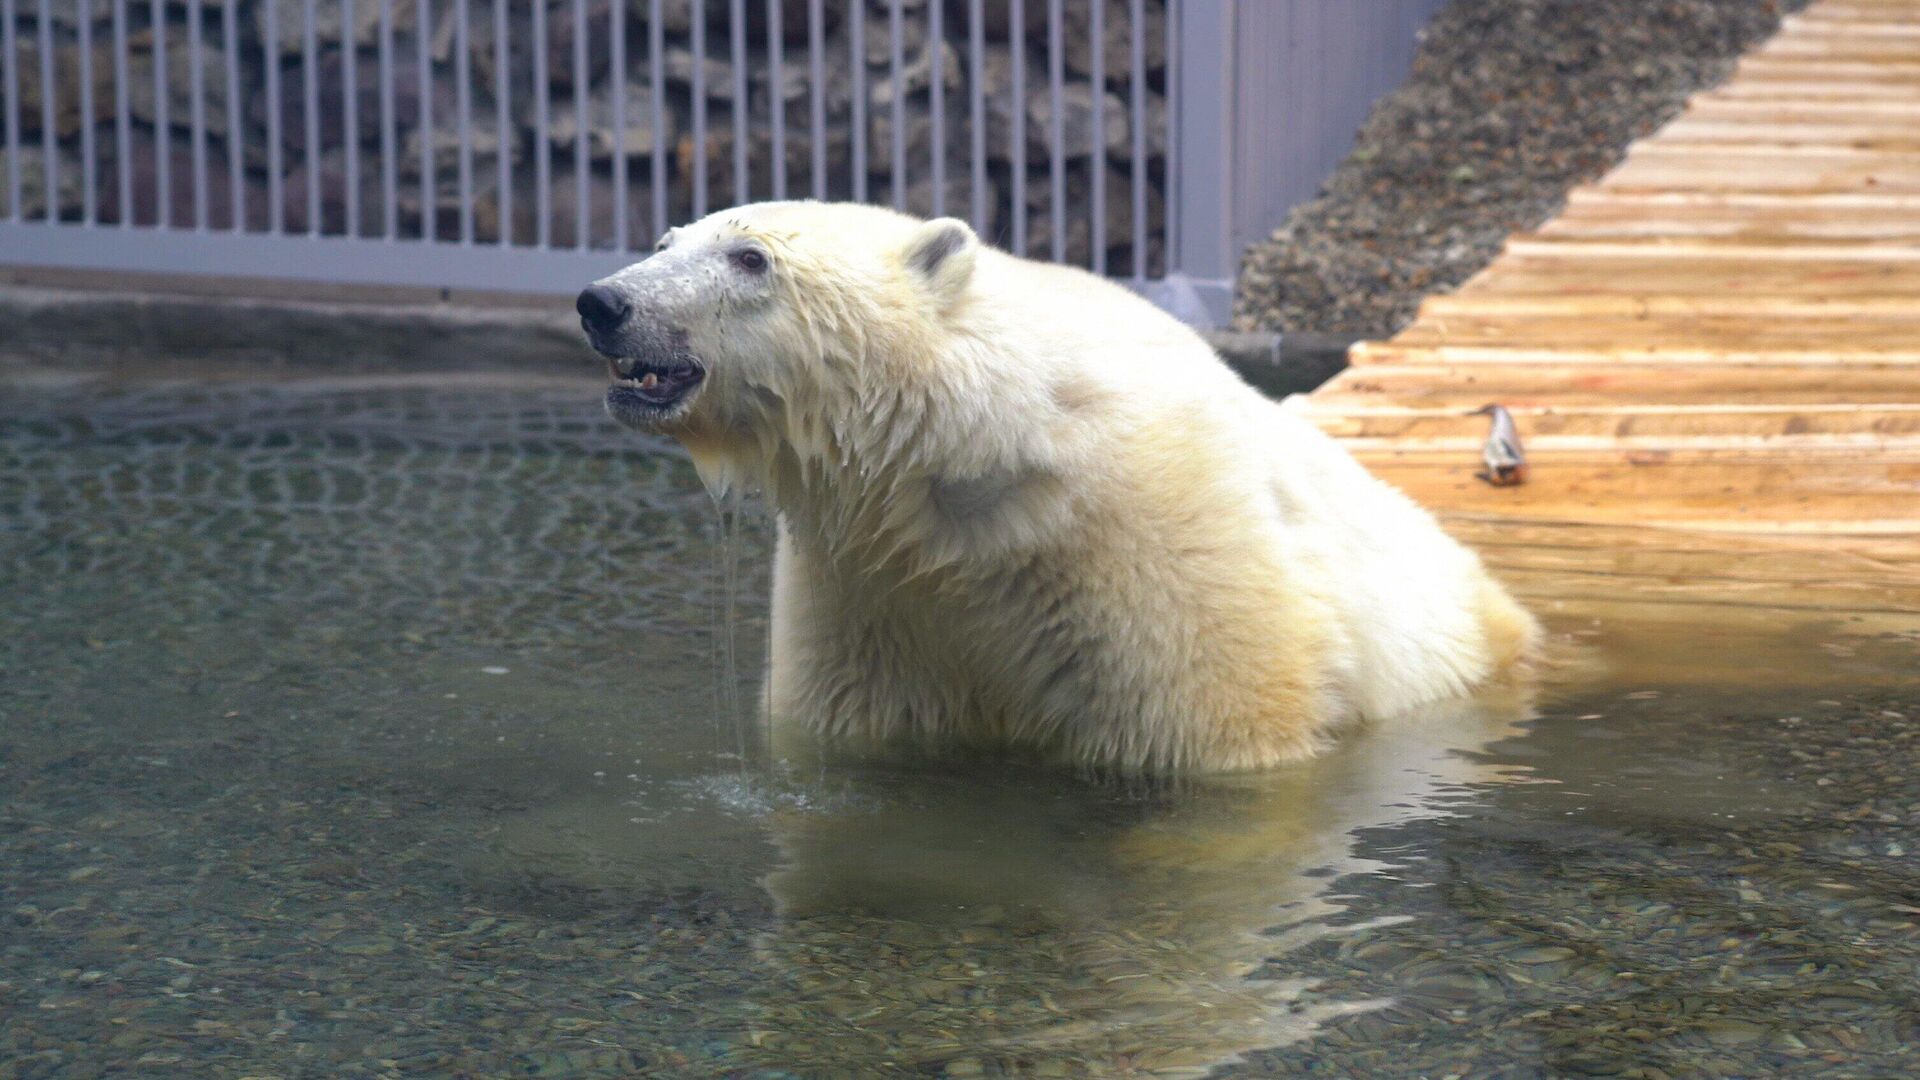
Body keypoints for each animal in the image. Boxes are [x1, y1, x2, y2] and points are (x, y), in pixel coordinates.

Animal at [576, 199, 1536, 772]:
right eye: (665, 242)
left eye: (750, 257)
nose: (603, 303)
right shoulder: (867, 581)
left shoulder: (1161, 538)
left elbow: (1217, 718)